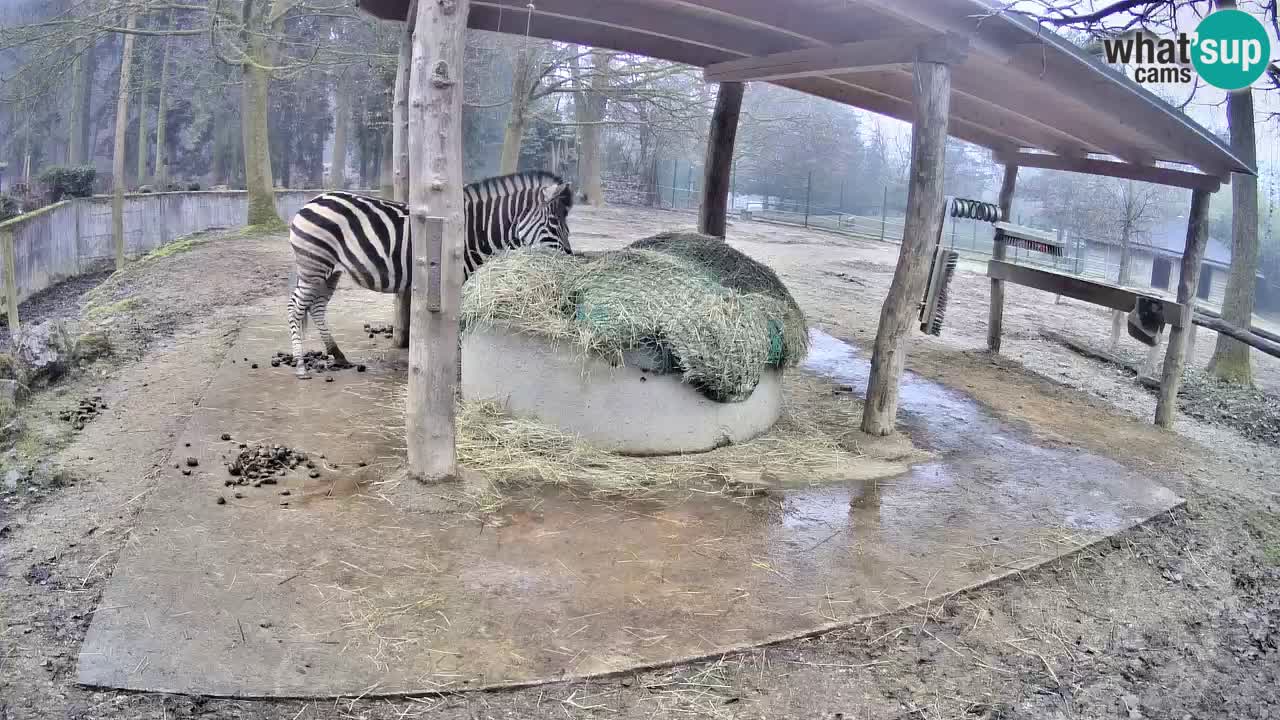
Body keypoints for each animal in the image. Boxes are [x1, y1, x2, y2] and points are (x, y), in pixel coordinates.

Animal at [286, 170, 574, 379]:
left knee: (317, 307)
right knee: (296, 307)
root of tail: (311, 201)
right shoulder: (455, 281)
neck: (474, 231)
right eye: (554, 223)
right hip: (314, 265)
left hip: (329, 271)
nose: (570, 260)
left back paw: (337, 354)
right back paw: (300, 365)